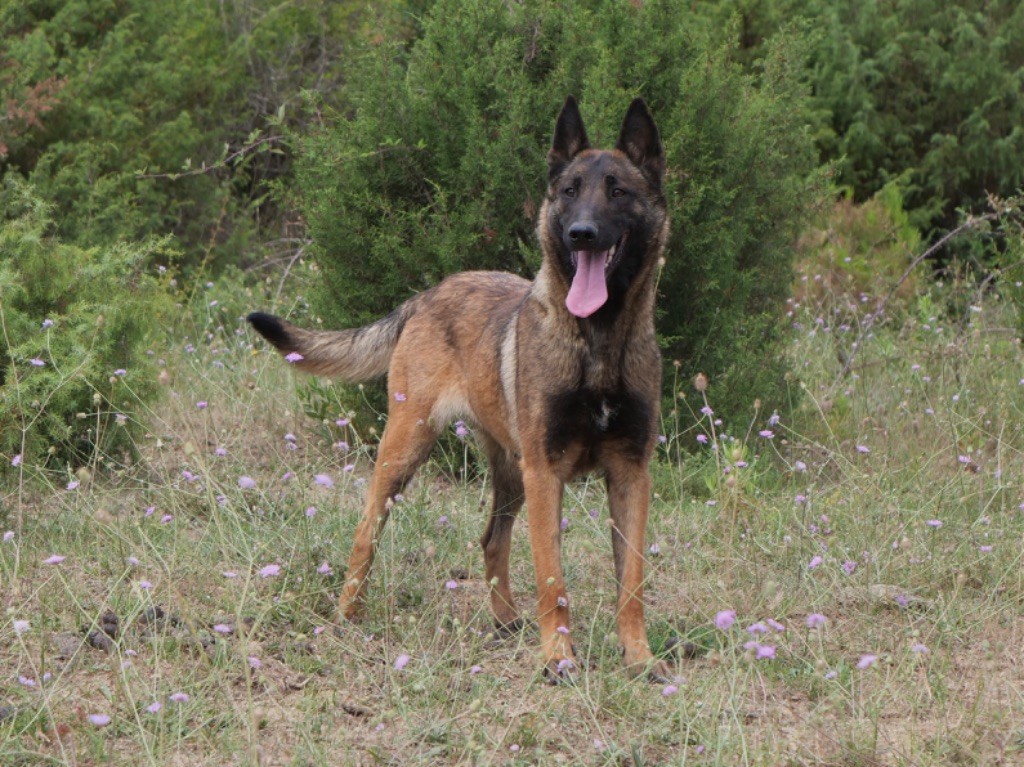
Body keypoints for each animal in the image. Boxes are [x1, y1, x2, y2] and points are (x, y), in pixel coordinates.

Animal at [247, 97, 671, 684]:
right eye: (569, 191)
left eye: (618, 192)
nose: (581, 234)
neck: (598, 343)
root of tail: (427, 295)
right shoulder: (547, 474)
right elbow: (553, 580)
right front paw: (557, 657)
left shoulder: (630, 475)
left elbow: (631, 581)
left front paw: (639, 657)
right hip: (408, 450)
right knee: (366, 530)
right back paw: (348, 614)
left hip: (511, 474)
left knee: (492, 539)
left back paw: (505, 619)